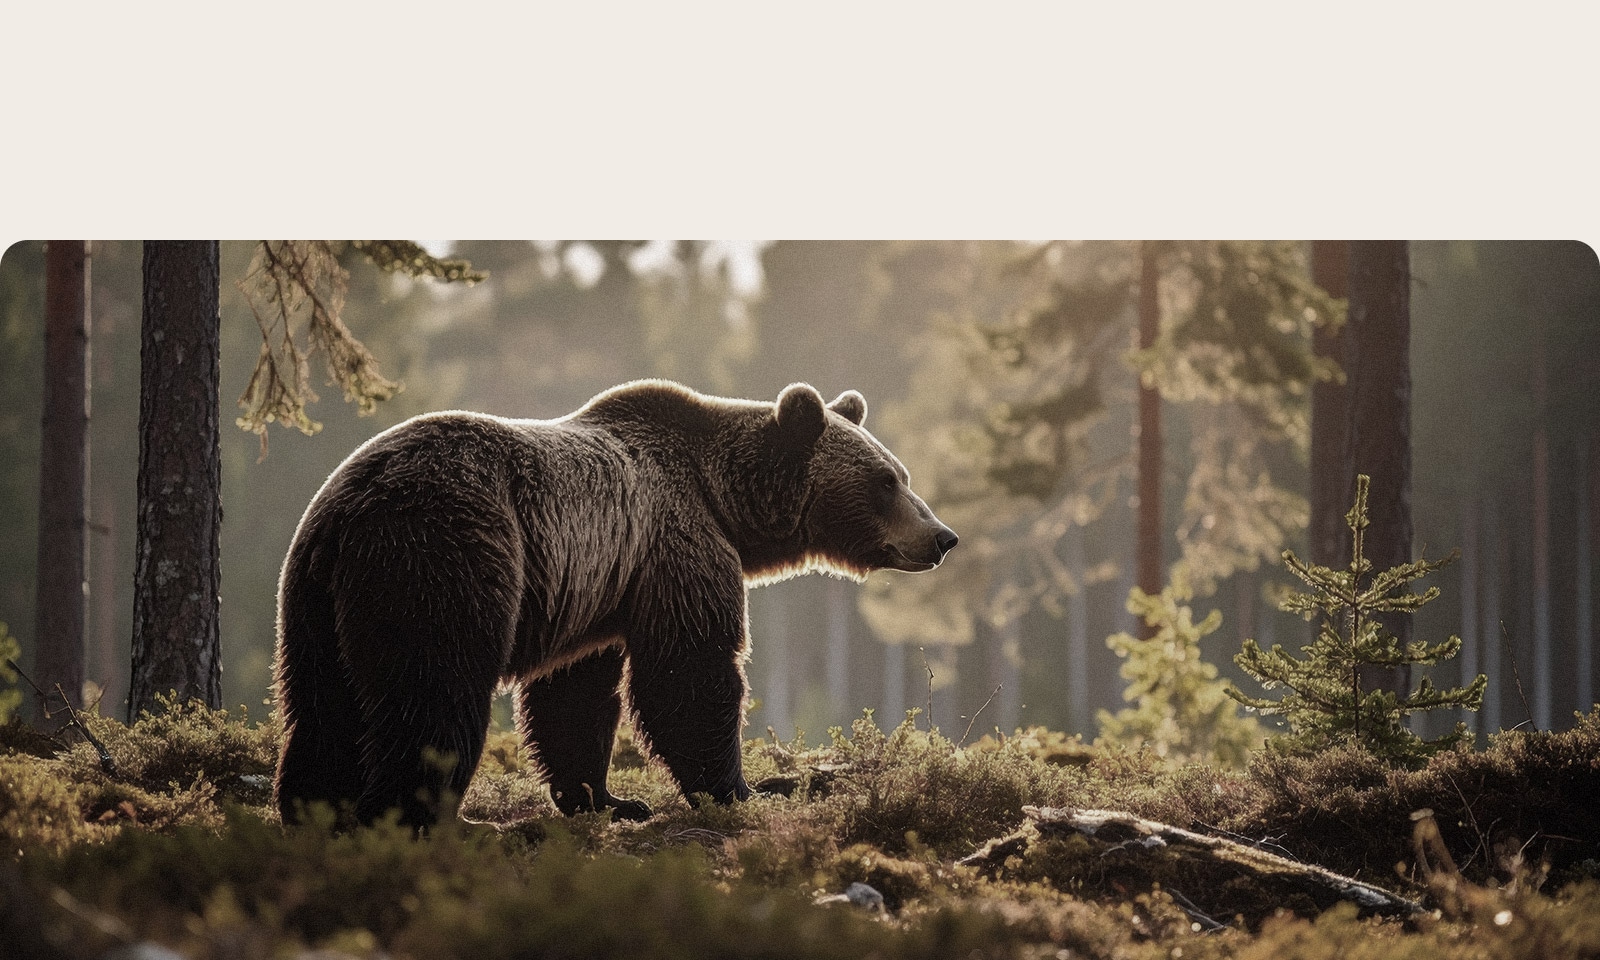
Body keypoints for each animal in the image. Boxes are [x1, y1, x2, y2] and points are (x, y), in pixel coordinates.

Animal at [272, 379, 957, 829]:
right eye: (886, 481)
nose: (942, 537)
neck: (725, 501)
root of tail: (347, 513)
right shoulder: (675, 543)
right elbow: (691, 673)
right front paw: (749, 788)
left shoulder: (596, 590)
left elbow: (574, 697)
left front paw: (610, 800)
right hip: (442, 556)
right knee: (434, 692)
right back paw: (436, 823)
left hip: (315, 605)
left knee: (323, 705)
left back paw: (315, 810)